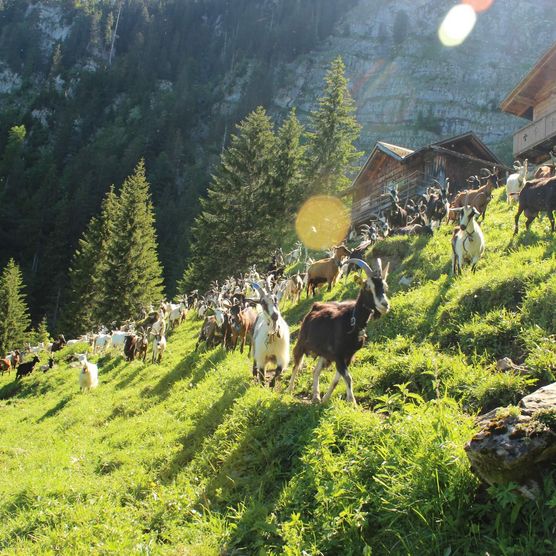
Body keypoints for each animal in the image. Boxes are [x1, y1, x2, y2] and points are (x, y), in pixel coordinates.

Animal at [288, 258, 388, 406]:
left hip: (323, 352)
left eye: (385, 287)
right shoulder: (338, 356)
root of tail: (315, 306)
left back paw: (316, 396)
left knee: (316, 371)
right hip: (301, 342)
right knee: (296, 365)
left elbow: (338, 379)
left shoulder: (348, 356)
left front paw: (325, 399)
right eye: (368, 287)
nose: (385, 305)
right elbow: (348, 377)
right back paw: (289, 389)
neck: (352, 322)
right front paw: (353, 402)